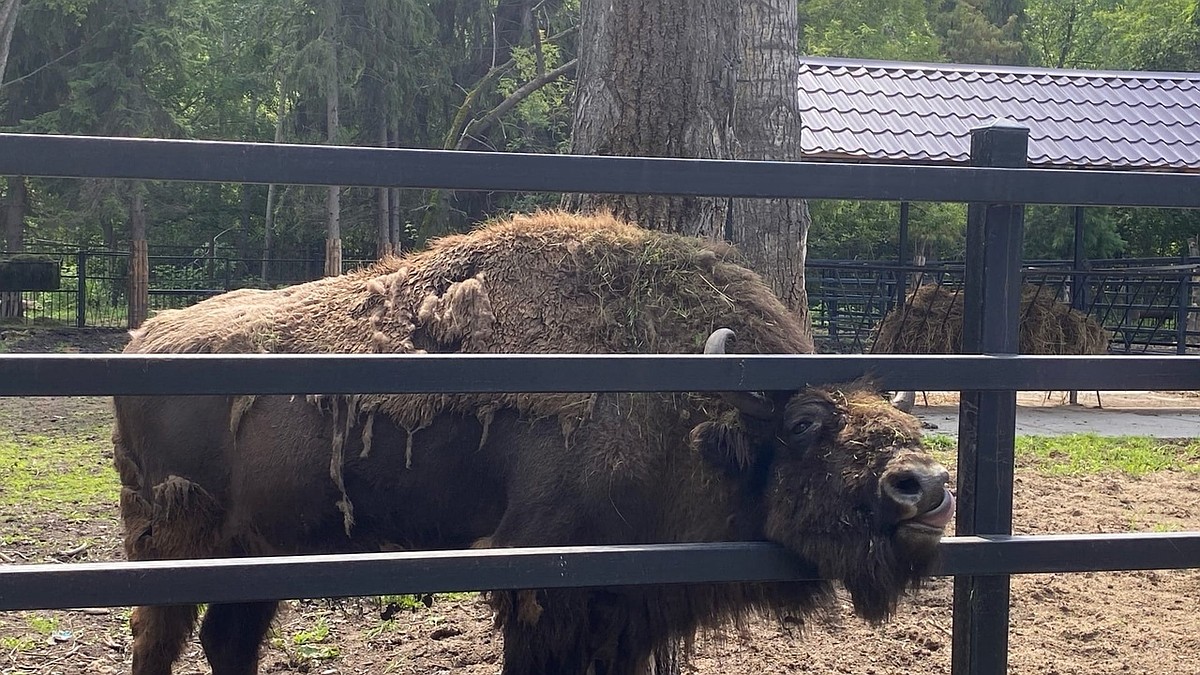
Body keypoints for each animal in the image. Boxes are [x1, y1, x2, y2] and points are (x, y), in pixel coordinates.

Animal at [114, 212, 955, 672]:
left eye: (910, 426)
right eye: (806, 422)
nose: (925, 486)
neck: (692, 411)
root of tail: (147, 336)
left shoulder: (627, 609)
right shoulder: (544, 589)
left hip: (262, 552)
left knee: (228, 638)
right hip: (173, 545)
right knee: (158, 639)